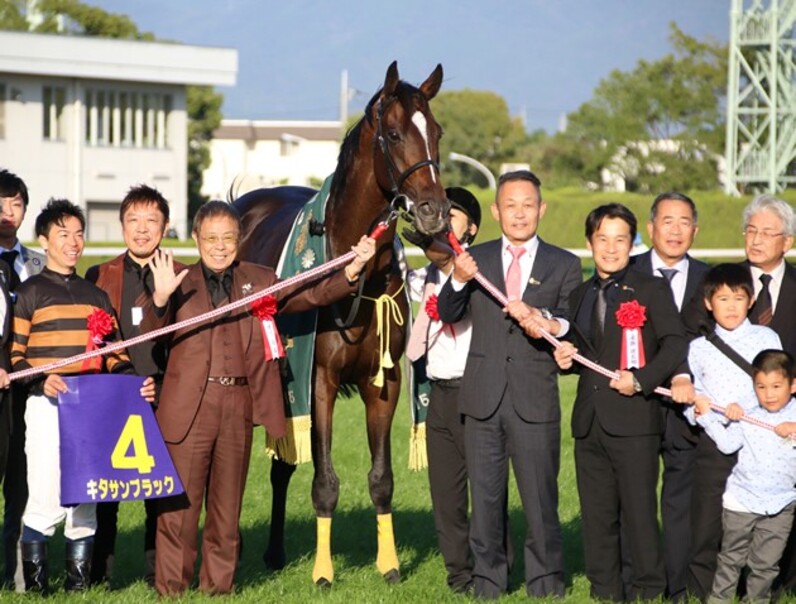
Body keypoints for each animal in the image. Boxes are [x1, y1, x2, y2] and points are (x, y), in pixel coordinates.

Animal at [233, 62, 450, 584]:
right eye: (393, 134)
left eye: (436, 132)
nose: (435, 211)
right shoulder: (318, 382)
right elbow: (325, 482)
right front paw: (323, 571)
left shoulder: (383, 383)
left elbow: (382, 479)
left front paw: (389, 565)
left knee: (281, 468)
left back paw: (274, 551)